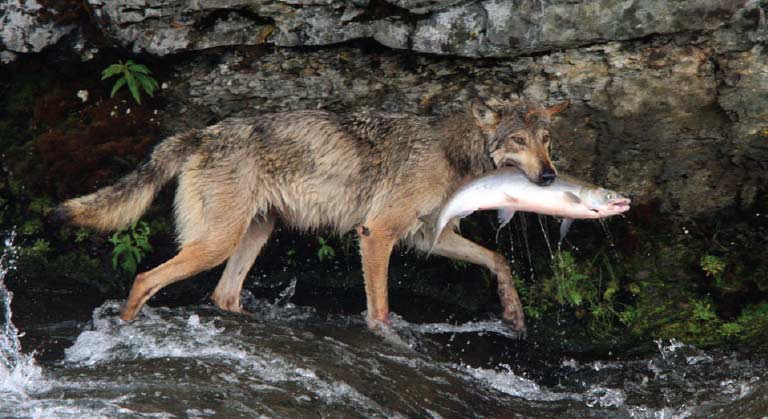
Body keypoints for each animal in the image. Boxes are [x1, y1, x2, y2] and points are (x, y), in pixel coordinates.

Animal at [54, 97, 568, 334]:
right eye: (517, 141)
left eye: (546, 140)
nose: (549, 176)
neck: (453, 154)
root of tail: (202, 133)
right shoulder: (376, 233)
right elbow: (381, 309)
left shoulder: (426, 238)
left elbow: (498, 261)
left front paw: (513, 312)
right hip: (215, 244)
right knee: (144, 278)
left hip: (253, 236)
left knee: (223, 295)